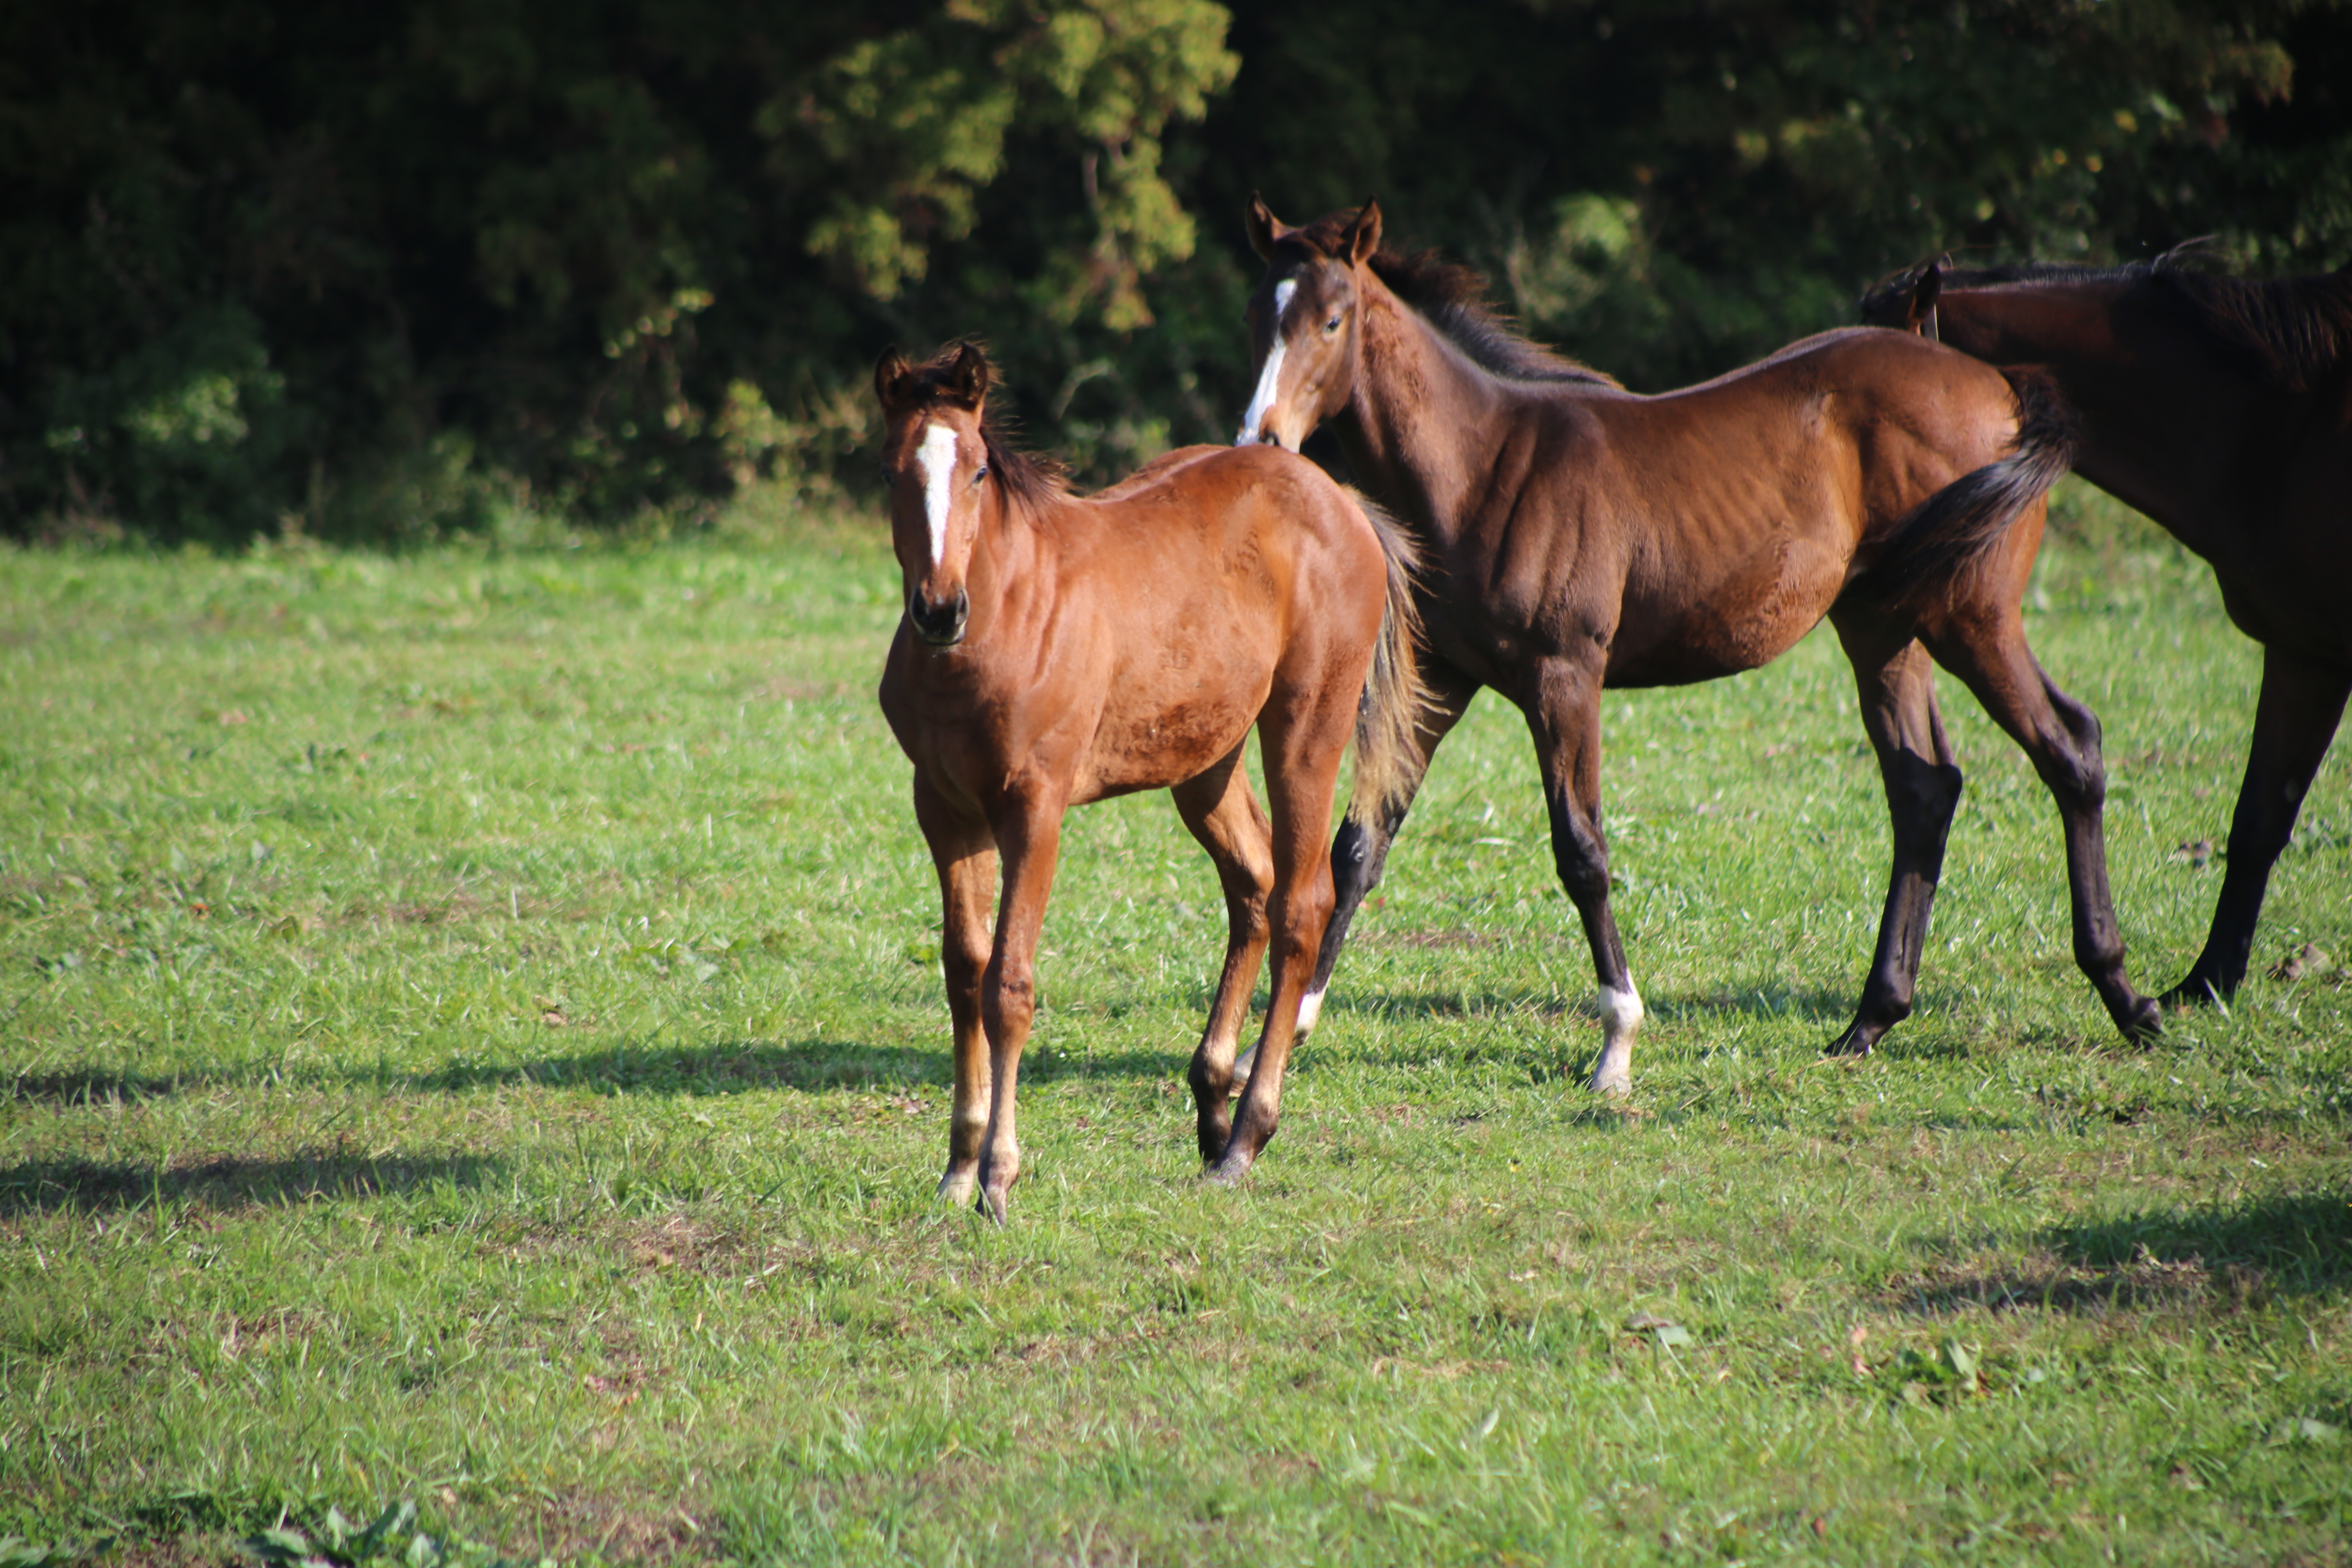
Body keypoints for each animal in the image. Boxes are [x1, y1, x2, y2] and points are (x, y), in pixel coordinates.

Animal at [875, 339, 1421, 1213]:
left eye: (979, 471)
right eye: (891, 470)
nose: (939, 610)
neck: (1004, 619)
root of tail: (1340, 501)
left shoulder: (1035, 809)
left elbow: (1008, 986)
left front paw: (999, 1174)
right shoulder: (944, 809)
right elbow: (964, 976)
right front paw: (957, 1169)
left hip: (1305, 730)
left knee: (1302, 904)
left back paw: (1248, 1134)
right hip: (1206, 762)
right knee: (1254, 883)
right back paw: (1212, 1101)